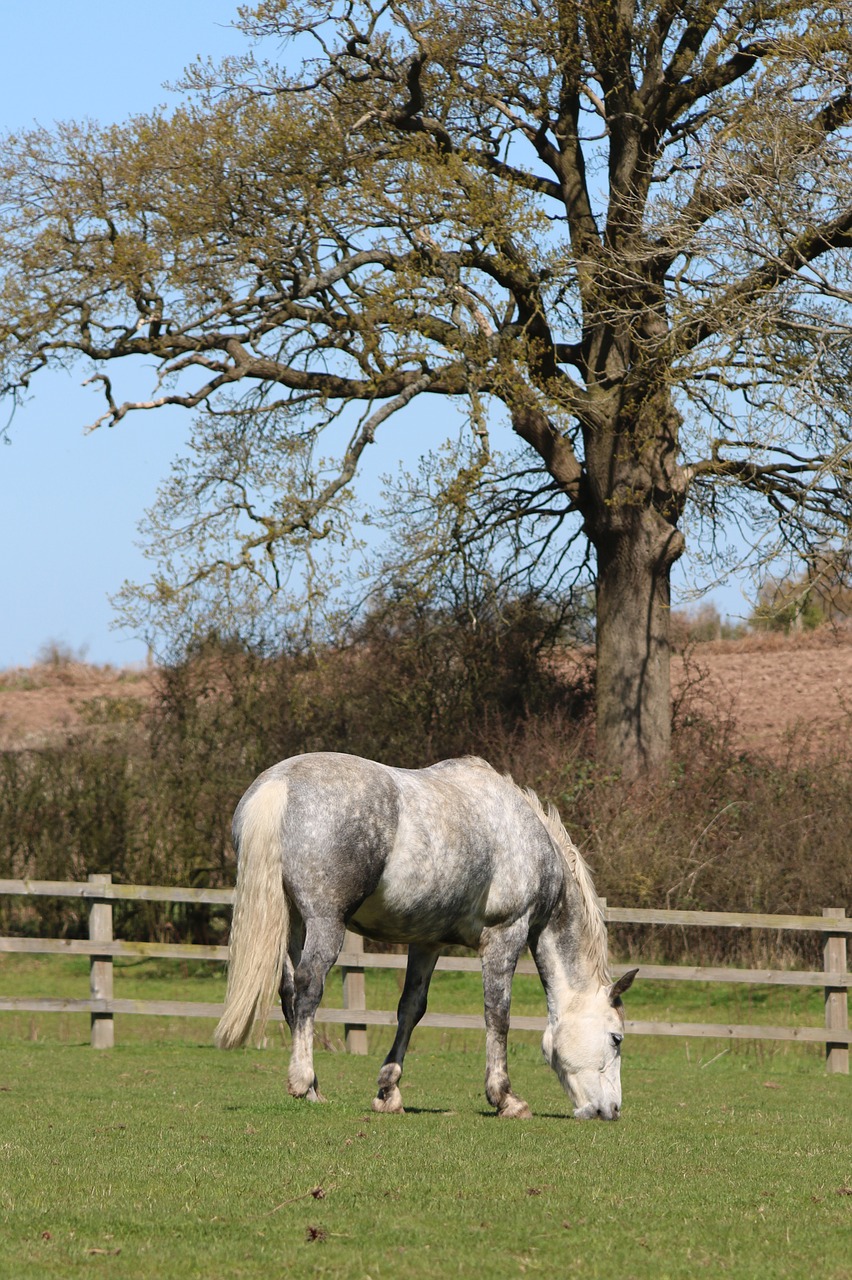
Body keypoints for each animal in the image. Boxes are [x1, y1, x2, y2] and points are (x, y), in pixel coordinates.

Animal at [216, 747, 634, 1121]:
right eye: (616, 1038)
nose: (612, 1110)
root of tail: (279, 783)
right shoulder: (506, 934)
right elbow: (498, 1013)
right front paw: (505, 1098)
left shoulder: (426, 942)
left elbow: (410, 1010)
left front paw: (388, 1091)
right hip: (325, 922)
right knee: (307, 988)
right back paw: (304, 1082)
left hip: (293, 922)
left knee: (288, 992)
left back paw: (315, 1086)